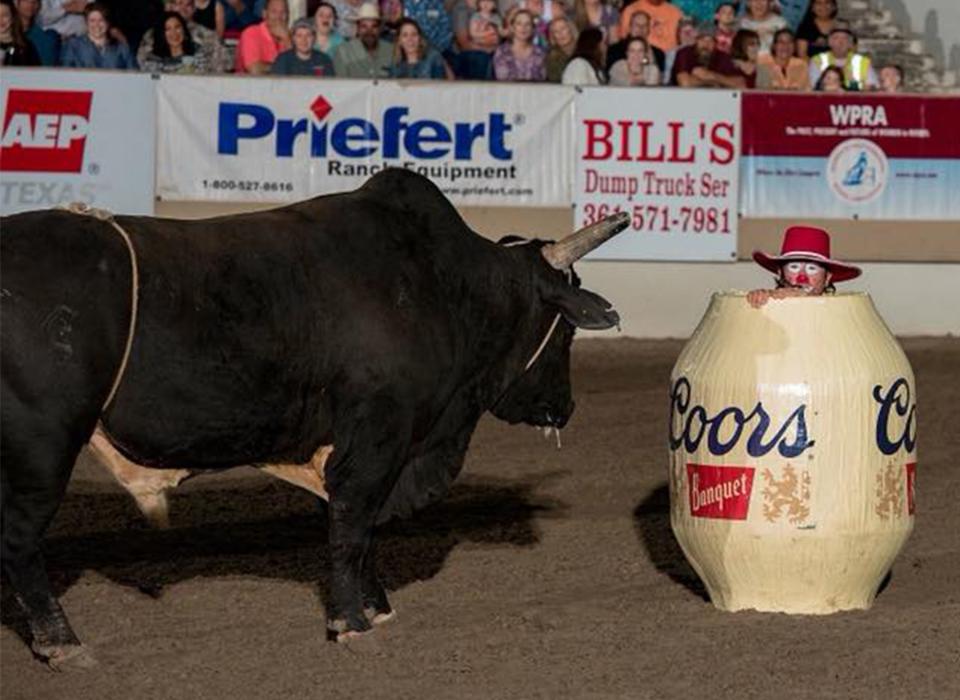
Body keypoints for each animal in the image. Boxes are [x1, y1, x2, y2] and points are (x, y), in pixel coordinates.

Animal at [1, 170, 632, 668]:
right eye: (567, 330)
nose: (565, 407)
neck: (441, 284)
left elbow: (357, 527)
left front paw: (377, 608)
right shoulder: (377, 437)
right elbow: (352, 525)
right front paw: (352, 623)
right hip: (42, 448)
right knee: (21, 542)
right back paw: (63, 643)